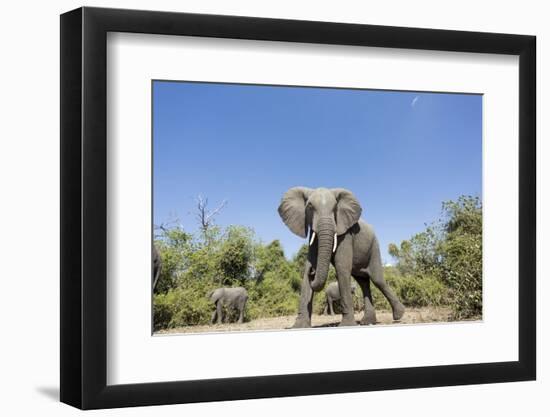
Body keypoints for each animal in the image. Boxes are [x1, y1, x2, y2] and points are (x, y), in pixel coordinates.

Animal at [280, 187, 406, 326]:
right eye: (310, 207)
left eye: (335, 208)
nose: (312, 272)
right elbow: (308, 265)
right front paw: (299, 326)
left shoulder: (346, 234)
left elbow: (342, 267)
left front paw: (347, 324)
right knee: (363, 282)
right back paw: (367, 321)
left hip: (374, 246)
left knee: (377, 279)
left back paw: (398, 315)